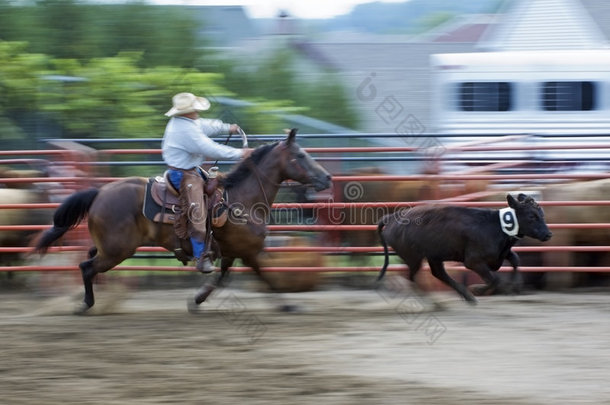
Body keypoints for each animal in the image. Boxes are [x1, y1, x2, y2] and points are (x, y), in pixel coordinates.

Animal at [32, 129, 328, 312]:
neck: (241, 200)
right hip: (117, 250)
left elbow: (221, 278)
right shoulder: (249, 252)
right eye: (300, 155)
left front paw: (197, 300)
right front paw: (289, 305)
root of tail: (100, 192)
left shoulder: (232, 253)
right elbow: (266, 276)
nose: (326, 178)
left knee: (89, 260)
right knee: (86, 267)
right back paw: (86, 305)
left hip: (107, 246)